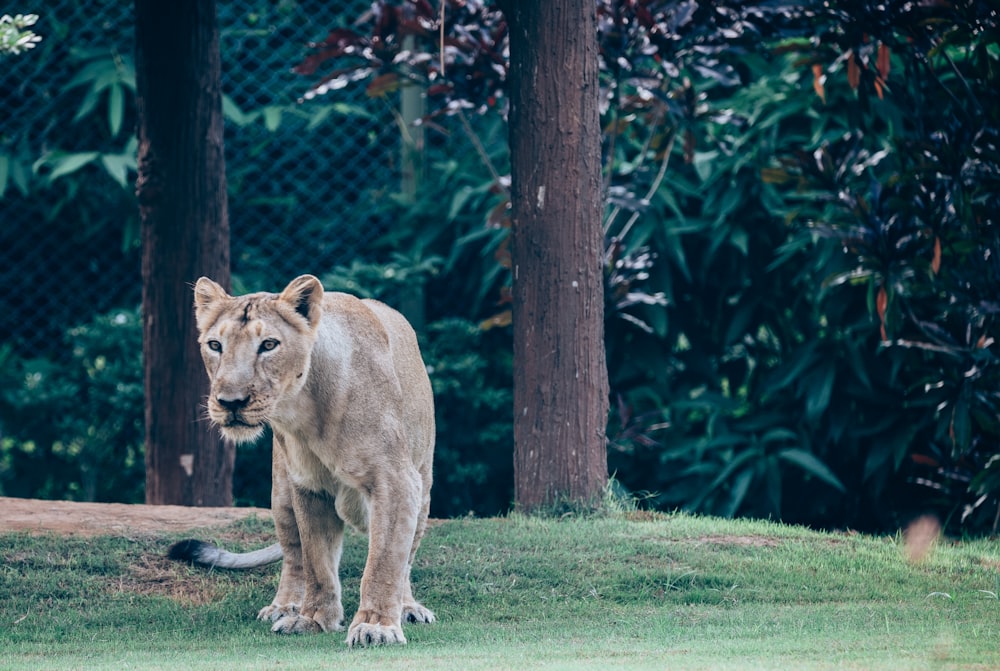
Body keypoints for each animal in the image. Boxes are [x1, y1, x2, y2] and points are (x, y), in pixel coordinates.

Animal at [169, 276, 438, 648]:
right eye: (215, 345)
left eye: (269, 344)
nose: (231, 402)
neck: (308, 411)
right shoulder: (309, 488)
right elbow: (317, 563)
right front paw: (312, 619)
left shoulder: (396, 482)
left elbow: (385, 562)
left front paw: (376, 626)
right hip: (282, 495)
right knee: (294, 556)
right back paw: (285, 607)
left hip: (422, 489)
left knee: (406, 557)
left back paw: (408, 607)